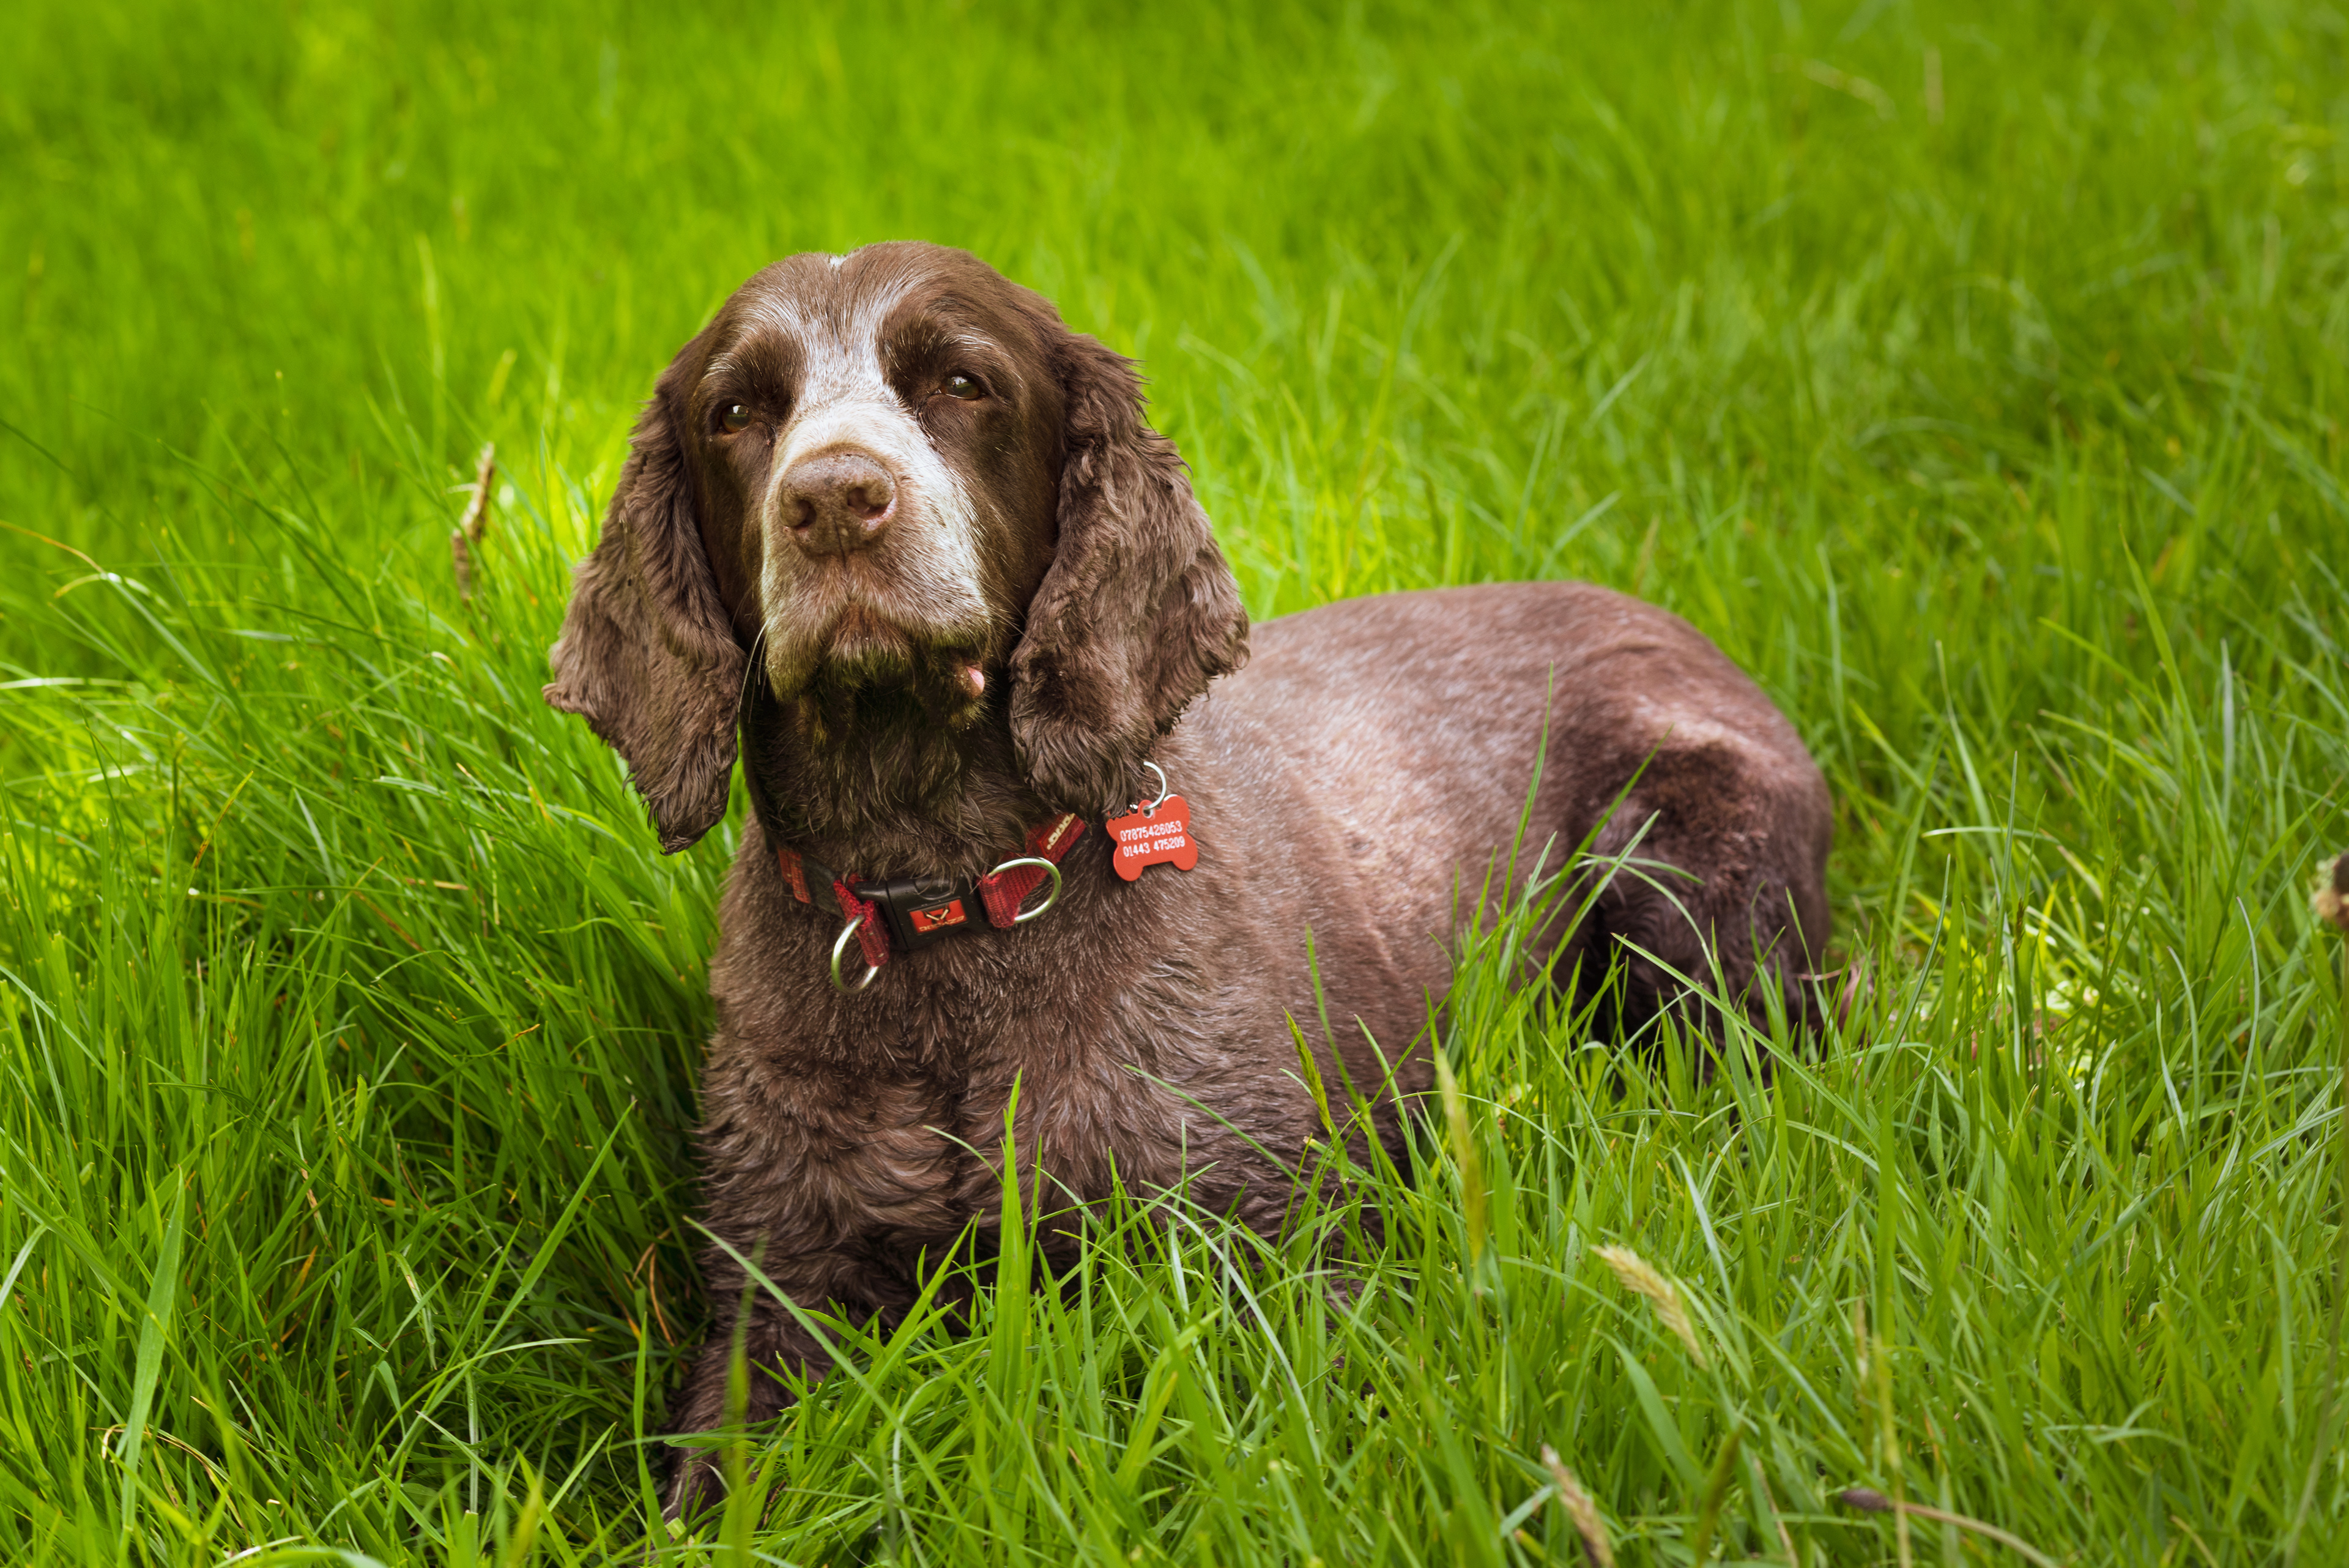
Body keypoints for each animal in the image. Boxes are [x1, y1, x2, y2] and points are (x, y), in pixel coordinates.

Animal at [543, 241, 1832, 1512]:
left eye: (962, 383)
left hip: (1684, 880)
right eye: (737, 412)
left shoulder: (1274, 1252)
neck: (953, 896)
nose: (833, 500)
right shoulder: (779, 1289)